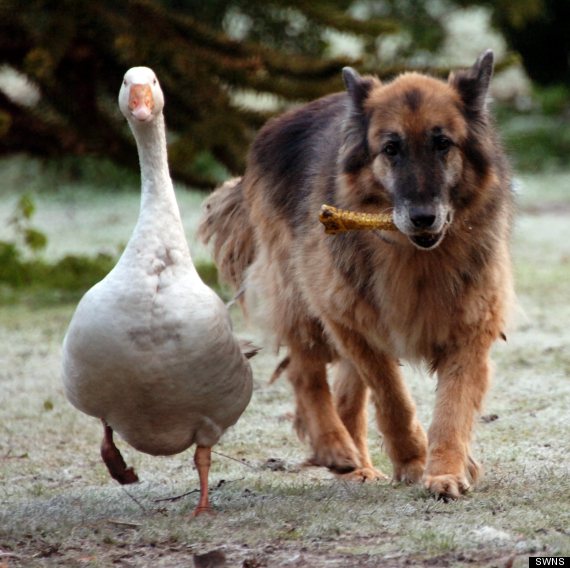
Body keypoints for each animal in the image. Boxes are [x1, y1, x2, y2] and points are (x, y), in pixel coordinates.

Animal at [199, 51, 510, 500]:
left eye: (443, 144)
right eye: (391, 148)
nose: (423, 218)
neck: (417, 257)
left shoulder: (468, 330)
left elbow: (452, 408)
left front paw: (446, 471)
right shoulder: (349, 321)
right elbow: (393, 400)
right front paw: (413, 460)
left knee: (346, 396)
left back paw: (358, 467)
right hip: (305, 303)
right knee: (306, 372)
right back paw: (335, 448)